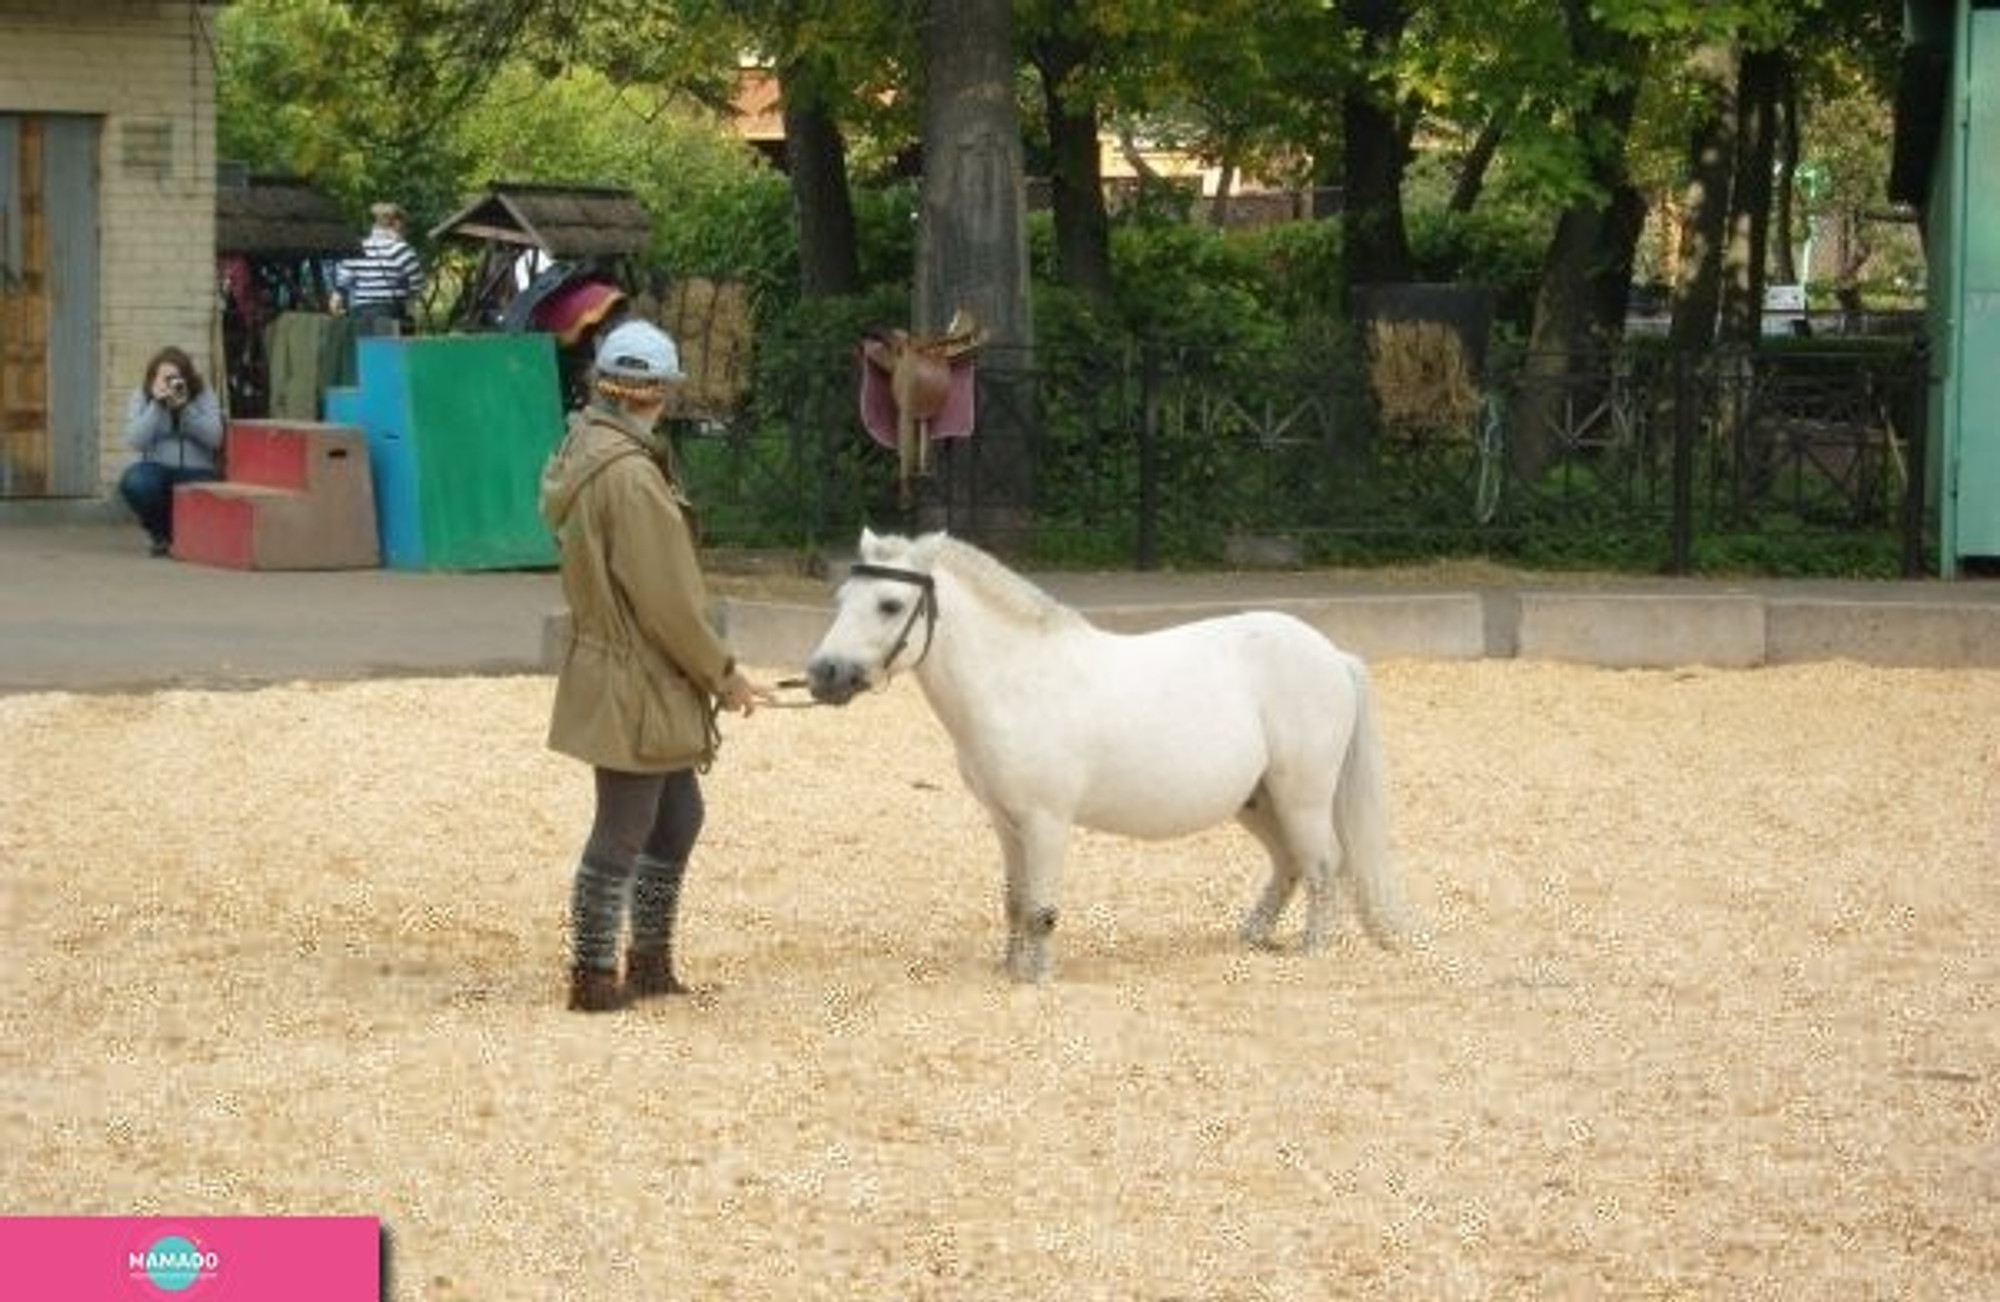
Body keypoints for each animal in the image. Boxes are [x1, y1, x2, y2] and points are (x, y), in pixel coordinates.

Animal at [800, 524, 1408, 984]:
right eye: (841, 601)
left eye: (890, 604)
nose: (823, 675)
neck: (1019, 681)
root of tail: (1332, 654)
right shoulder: (1006, 822)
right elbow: (1014, 901)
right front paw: (1010, 971)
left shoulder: (1047, 821)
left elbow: (1041, 910)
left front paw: (1038, 980)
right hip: (1257, 801)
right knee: (1289, 863)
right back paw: (1253, 937)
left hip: (1302, 796)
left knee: (1324, 866)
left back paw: (1312, 952)